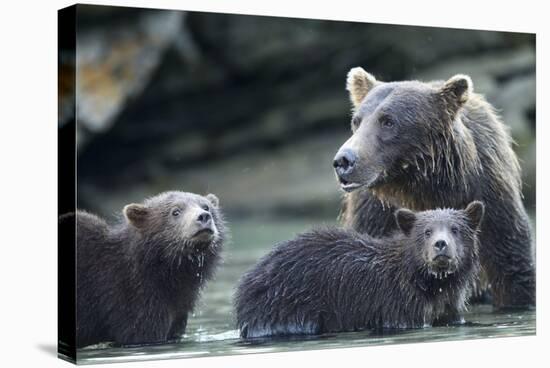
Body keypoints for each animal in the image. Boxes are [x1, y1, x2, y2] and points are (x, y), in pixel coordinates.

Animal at [334, 67, 536, 310]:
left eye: (388, 121)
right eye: (357, 121)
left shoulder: (490, 201)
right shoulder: (374, 214)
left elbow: (511, 266)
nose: (344, 160)